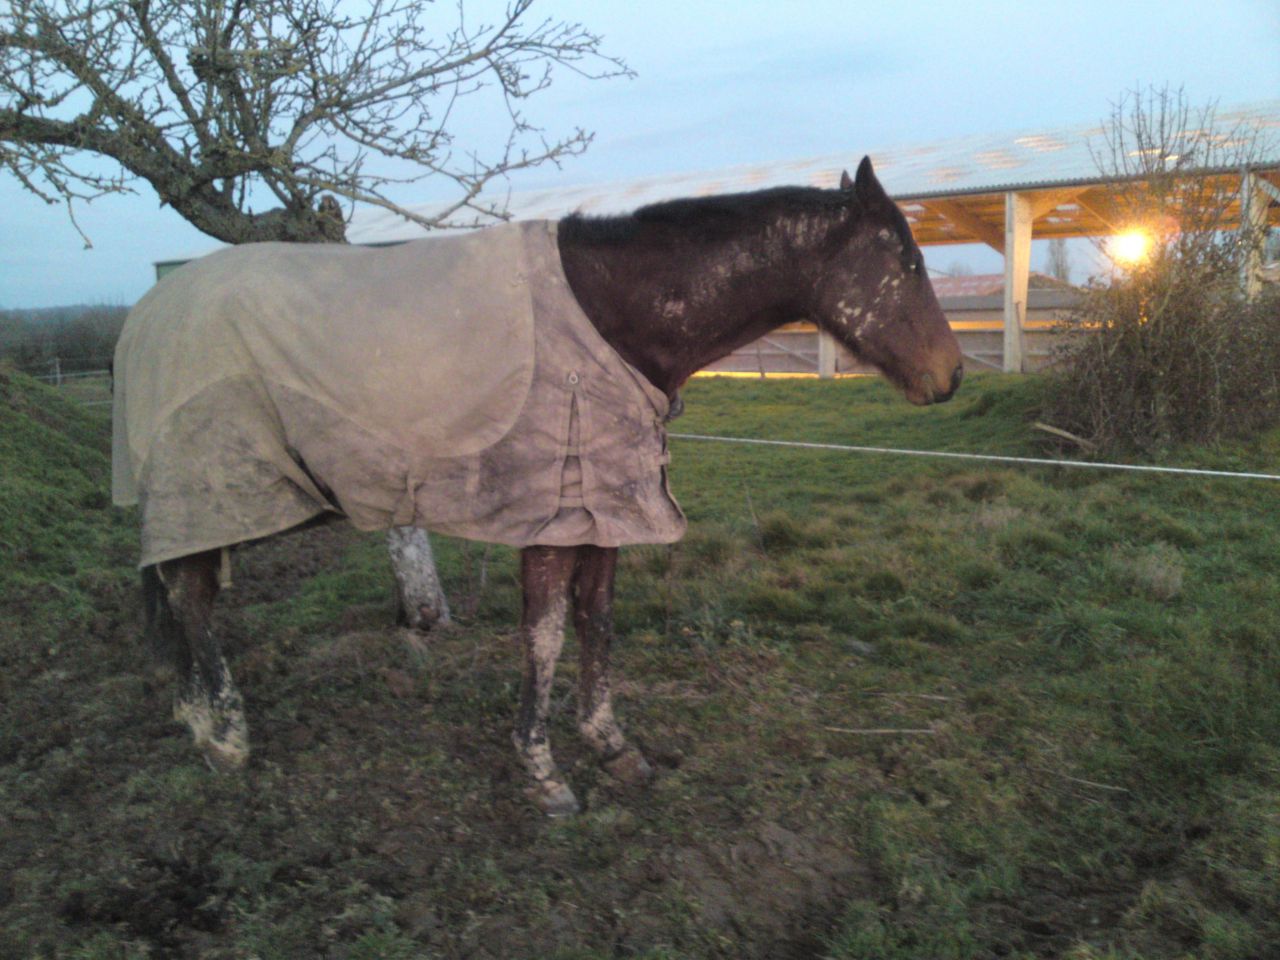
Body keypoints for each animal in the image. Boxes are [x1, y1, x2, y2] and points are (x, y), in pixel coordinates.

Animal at [115, 157, 962, 816]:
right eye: (907, 263)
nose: (950, 376)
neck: (612, 317)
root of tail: (146, 314)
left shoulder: (608, 514)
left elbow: (598, 623)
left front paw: (612, 746)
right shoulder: (551, 521)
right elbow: (547, 635)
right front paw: (542, 771)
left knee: (181, 594)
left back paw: (194, 716)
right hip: (211, 491)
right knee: (192, 599)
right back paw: (226, 736)